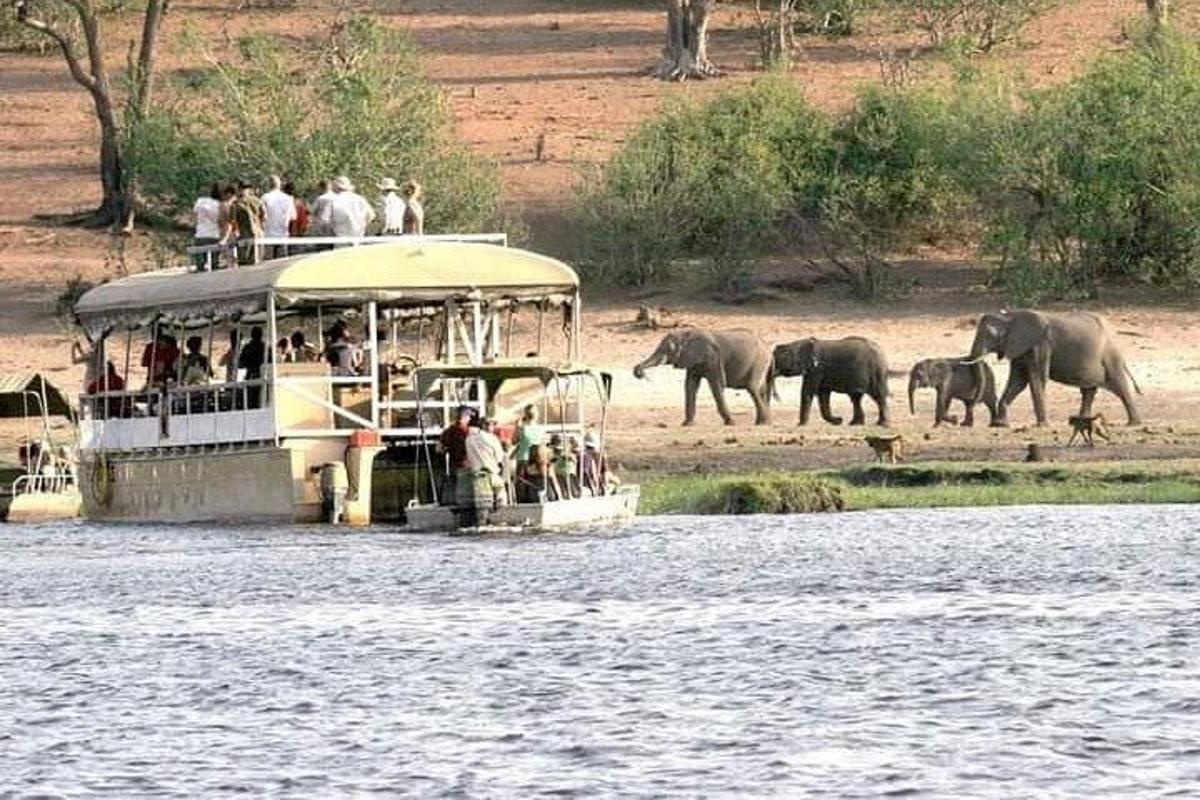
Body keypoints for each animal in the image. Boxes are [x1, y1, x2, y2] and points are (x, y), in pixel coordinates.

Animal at [633, 326, 772, 424]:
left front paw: (730, 422)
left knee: (752, 388)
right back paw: (764, 422)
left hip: (758, 362)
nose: (638, 372)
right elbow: (690, 386)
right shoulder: (692, 361)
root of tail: (766, 345)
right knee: (761, 389)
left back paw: (762, 422)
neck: (687, 333)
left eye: (669, 349)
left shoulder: (713, 359)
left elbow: (716, 386)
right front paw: (687, 424)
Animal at [964, 309, 1142, 429]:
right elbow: (1018, 381)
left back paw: (1134, 424)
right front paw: (1000, 425)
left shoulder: (1041, 345)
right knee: (1088, 391)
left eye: (990, 335)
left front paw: (1042, 425)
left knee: (1120, 386)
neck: (1011, 316)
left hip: (1110, 356)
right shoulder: (1019, 348)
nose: (966, 422)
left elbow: (1036, 379)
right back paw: (1082, 423)